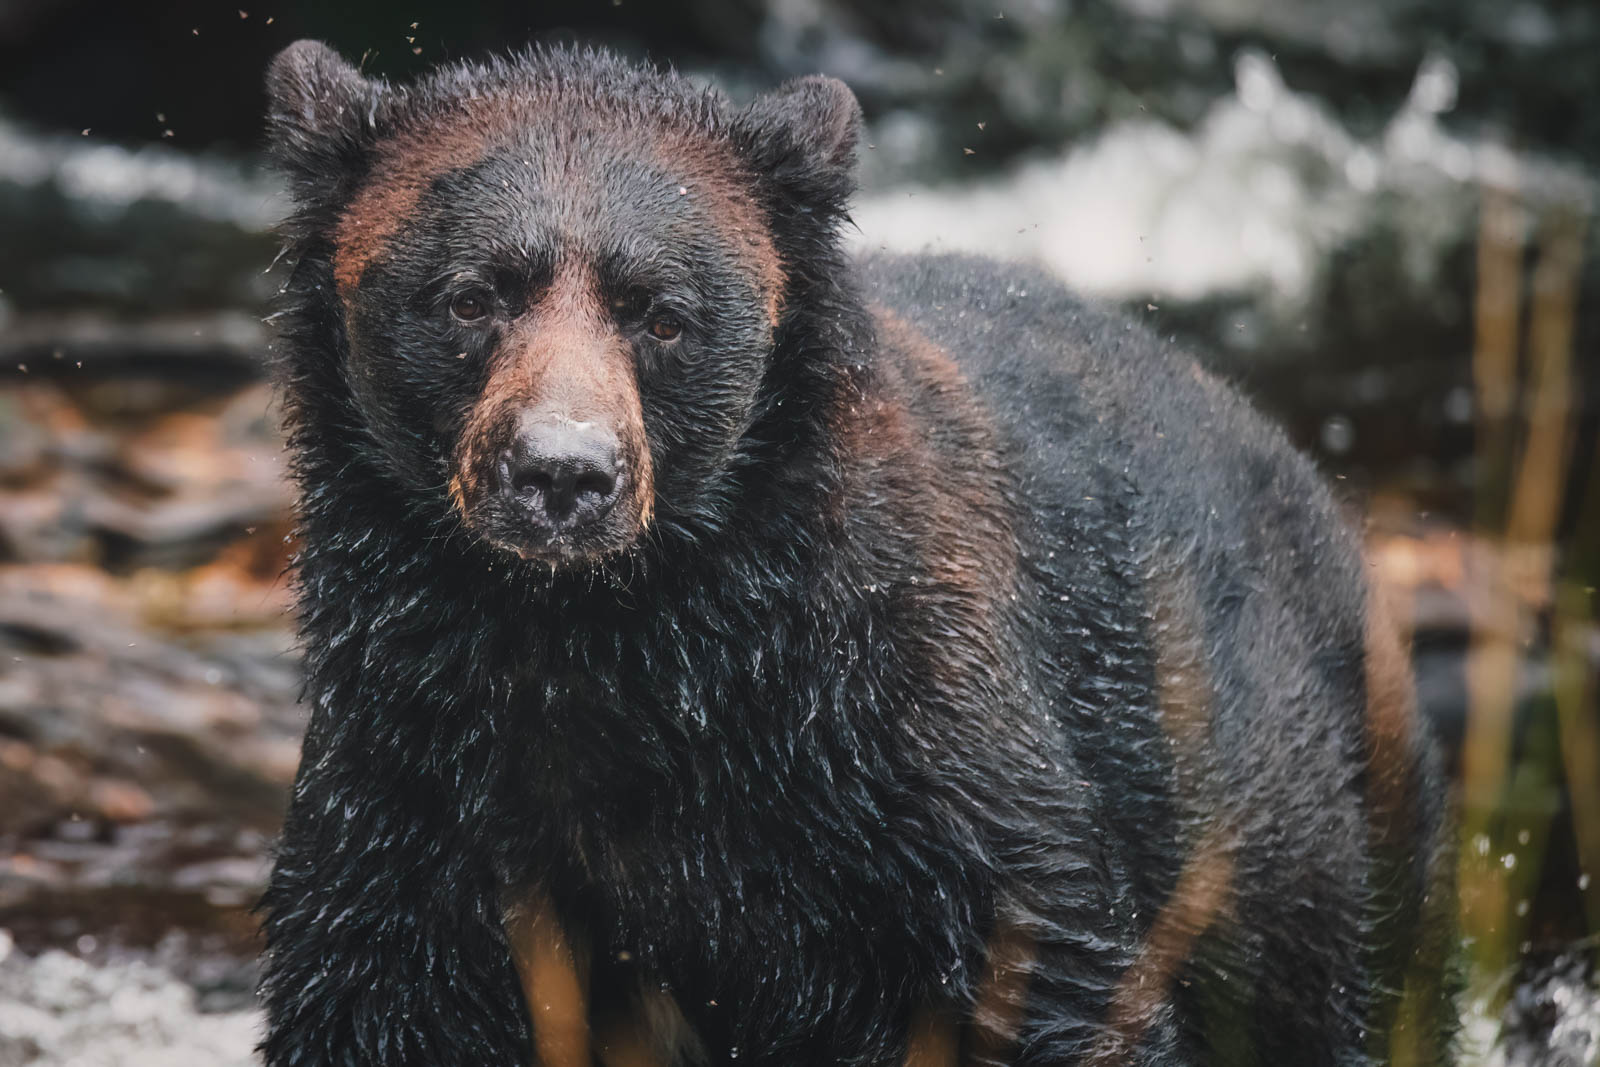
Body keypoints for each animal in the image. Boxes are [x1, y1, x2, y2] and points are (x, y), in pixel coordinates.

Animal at [256, 41, 1459, 1067]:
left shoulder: (906, 753)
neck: (623, 647)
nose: (562, 472)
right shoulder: (414, 791)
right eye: (471, 295)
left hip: (1308, 837)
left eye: (662, 313)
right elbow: (374, 996)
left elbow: (1046, 971)